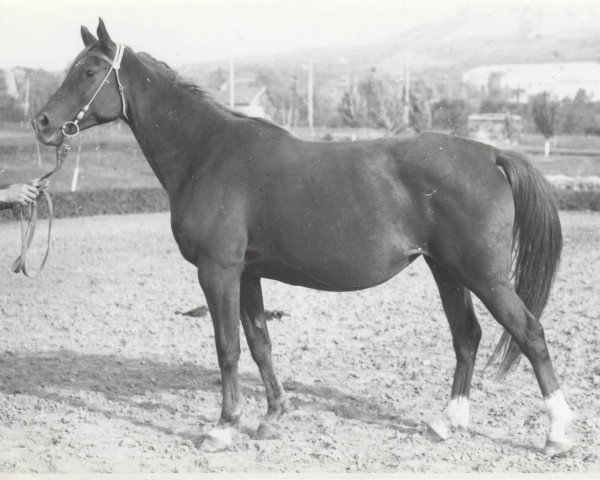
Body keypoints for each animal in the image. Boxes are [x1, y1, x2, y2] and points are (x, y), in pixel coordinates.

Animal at [30, 17, 576, 454]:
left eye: (89, 71)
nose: (42, 122)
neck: (207, 152)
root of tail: (490, 154)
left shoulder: (218, 271)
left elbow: (227, 346)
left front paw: (223, 428)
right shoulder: (247, 273)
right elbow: (259, 342)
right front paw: (271, 417)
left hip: (485, 277)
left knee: (530, 334)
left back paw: (556, 436)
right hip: (447, 271)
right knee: (467, 337)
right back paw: (447, 424)